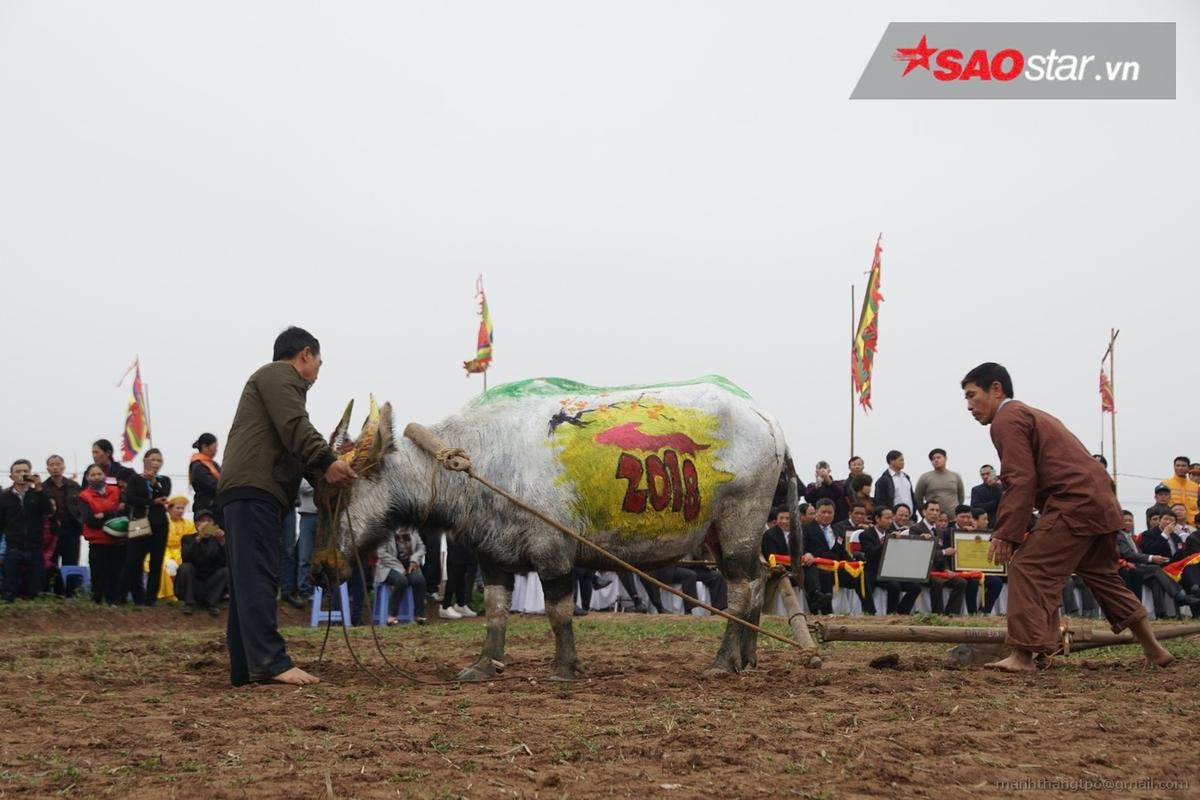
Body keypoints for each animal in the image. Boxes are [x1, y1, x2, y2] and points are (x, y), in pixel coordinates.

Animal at [326, 379, 787, 681]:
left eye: (341, 493)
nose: (321, 569)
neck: (483, 461)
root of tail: (766, 420)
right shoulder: (492, 555)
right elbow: (495, 611)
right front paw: (484, 666)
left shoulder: (553, 552)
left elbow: (558, 611)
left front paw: (564, 668)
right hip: (719, 532)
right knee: (760, 577)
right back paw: (748, 657)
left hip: (739, 520)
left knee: (740, 589)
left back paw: (723, 662)